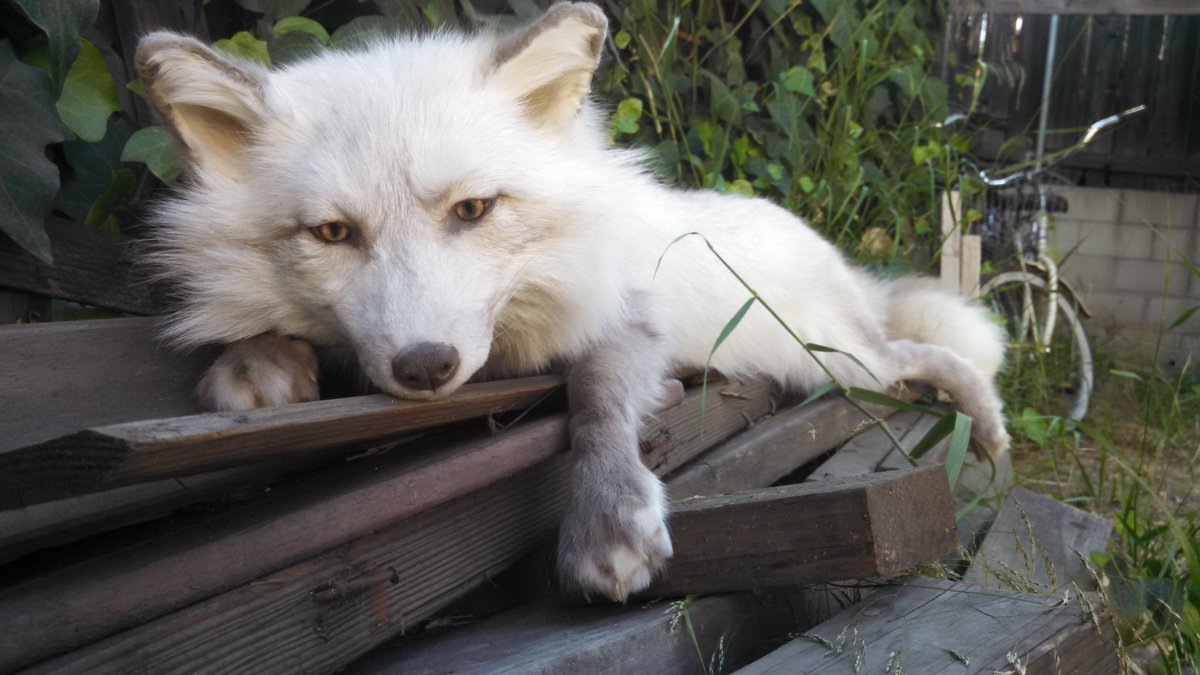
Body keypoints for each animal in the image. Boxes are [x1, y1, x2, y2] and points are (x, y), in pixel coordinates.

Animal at [136, 2, 1009, 602]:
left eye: (473, 210)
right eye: (331, 232)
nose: (426, 367)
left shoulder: (627, 321)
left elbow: (594, 399)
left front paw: (605, 516)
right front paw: (257, 361)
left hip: (835, 360)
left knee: (924, 354)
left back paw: (987, 423)